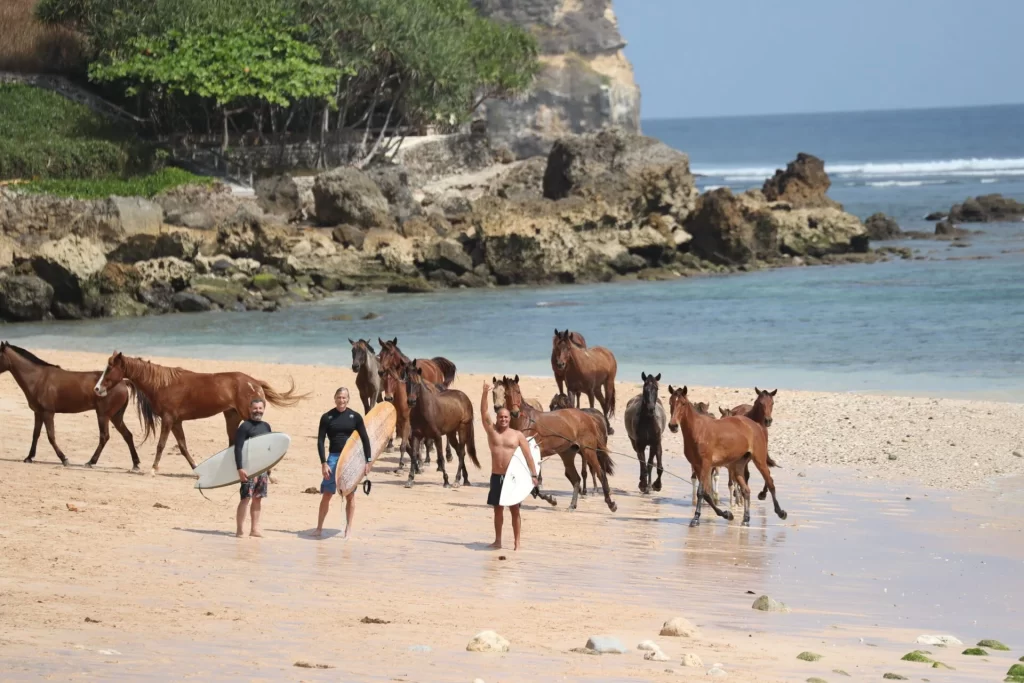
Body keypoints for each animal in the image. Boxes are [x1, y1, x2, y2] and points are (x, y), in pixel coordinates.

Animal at [1, 342, 140, 471]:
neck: (39, 378)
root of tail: (123, 382)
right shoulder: (38, 412)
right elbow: (36, 434)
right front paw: (29, 457)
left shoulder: (48, 412)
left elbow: (51, 436)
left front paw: (64, 459)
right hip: (115, 416)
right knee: (127, 435)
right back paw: (136, 464)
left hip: (103, 415)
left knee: (104, 436)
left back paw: (91, 462)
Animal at [94, 352, 305, 475]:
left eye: (110, 368)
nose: (97, 389)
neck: (162, 384)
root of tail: (255, 382)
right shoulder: (176, 421)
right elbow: (182, 446)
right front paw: (196, 469)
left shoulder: (168, 419)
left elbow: (161, 445)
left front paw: (153, 469)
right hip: (232, 416)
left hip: (246, 416)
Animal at [497, 374, 614, 511]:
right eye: (506, 394)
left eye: (518, 391)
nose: (515, 413)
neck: (525, 423)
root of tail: (588, 417)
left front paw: (551, 499)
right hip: (567, 454)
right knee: (576, 478)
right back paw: (572, 505)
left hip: (588, 451)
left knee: (600, 473)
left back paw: (611, 504)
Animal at [663, 387, 782, 528]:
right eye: (671, 402)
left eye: (683, 403)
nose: (673, 425)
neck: (698, 430)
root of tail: (757, 425)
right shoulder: (697, 466)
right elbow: (706, 493)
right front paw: (727, 514)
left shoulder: (705, 464)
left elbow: (701, 492)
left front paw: (696, 518)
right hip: (738, 466)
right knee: (746, 490)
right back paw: (746, 519)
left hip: (759, 460)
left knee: (770, 482)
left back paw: (781, 512)